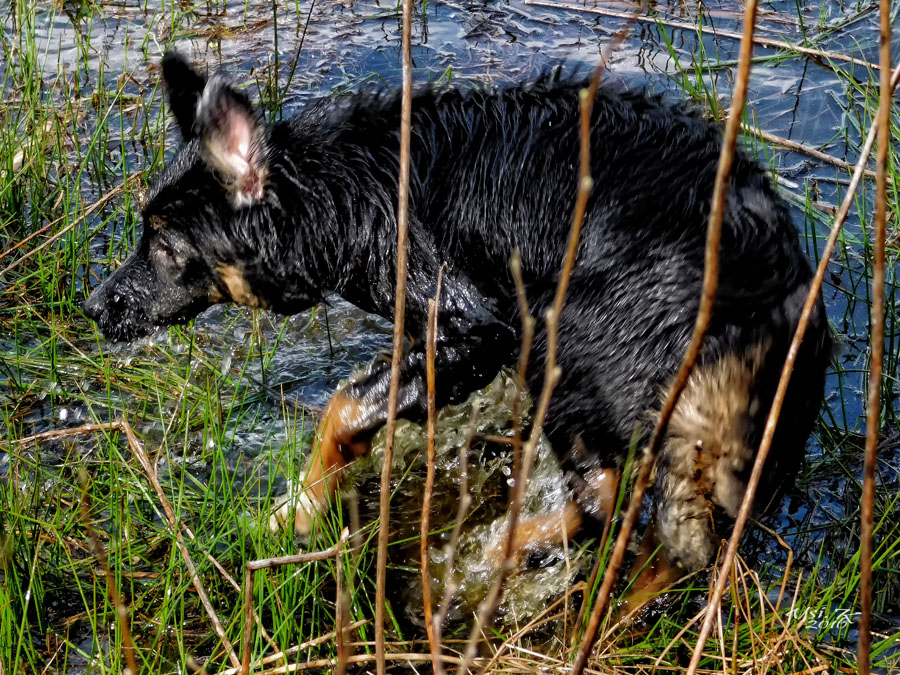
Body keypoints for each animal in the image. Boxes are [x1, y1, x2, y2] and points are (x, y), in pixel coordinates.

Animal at [84, 54, 828, 596]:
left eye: (165, 244)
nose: (95, 307)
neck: (346, 188)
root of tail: (770, 291)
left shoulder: (475, 324)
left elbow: (343, 407)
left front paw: (296, 511)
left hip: (567, 343)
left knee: (604, 498)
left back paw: (498, 551)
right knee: (675, 539)